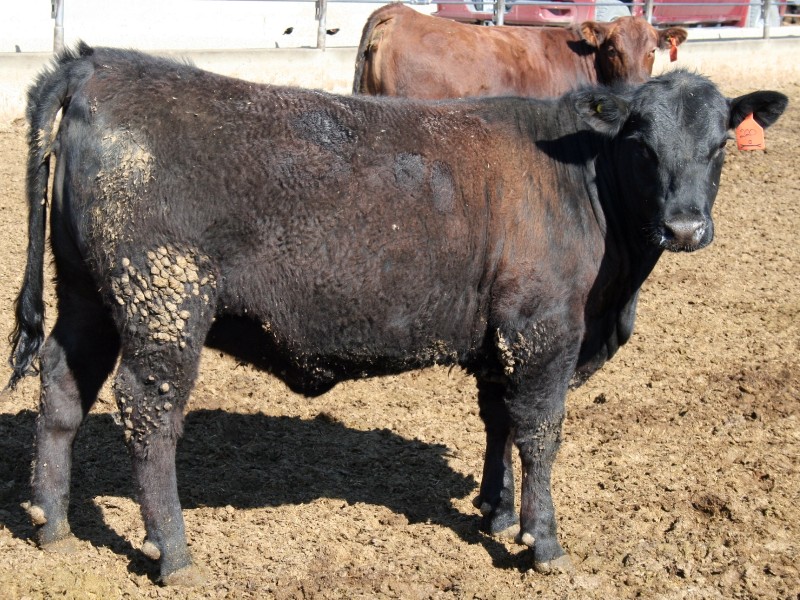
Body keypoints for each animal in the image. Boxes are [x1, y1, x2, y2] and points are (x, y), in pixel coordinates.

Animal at [9, 43, 786, 585]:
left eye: (720, 145)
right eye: (642, 145)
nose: (685, 227)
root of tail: (96, 66)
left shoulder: (500, 338)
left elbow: (499, 421)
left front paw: (497, 513)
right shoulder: (543, 331)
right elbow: (539, 432)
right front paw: (543, 540)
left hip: (87, 296)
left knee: (62, 390)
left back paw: (53, 524)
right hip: (164, 300)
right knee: (150, 412)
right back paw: (172, 552)